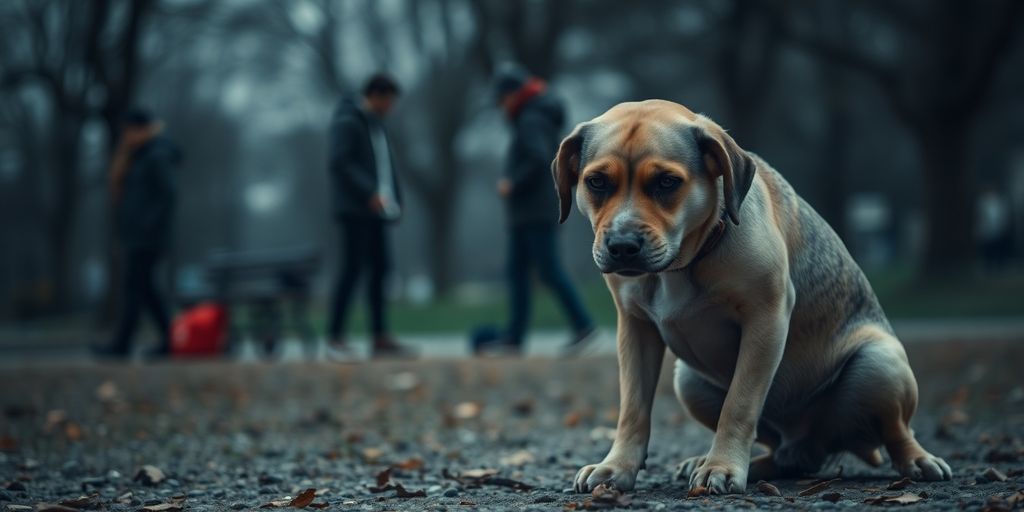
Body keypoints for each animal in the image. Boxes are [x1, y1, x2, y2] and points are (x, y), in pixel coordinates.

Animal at [552, 100, 950, 495]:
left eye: (667, 182)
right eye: (596, 182)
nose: (622, 246)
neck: (686, 261)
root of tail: (811, 442)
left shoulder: (765, 319)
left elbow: (739, 406)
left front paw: (722, 467)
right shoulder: (635, 329)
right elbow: (633, 409)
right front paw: (617, 466)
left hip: (880, 364)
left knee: (896, 431)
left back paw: (917, 459)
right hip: (690, 381)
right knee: (787, 455)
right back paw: (741, 463)